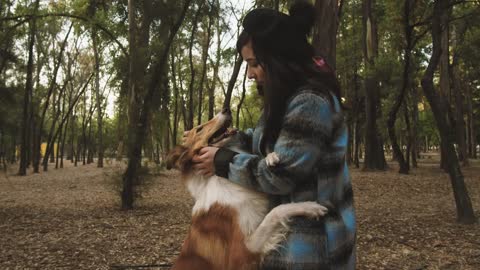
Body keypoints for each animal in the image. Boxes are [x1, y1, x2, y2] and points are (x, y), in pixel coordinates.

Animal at [165, 108, 326, 270]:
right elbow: (275, 212)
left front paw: (270, 157)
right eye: (199, 129)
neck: (217, 177)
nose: (226, 109)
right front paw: (310, 207)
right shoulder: (242, 253)